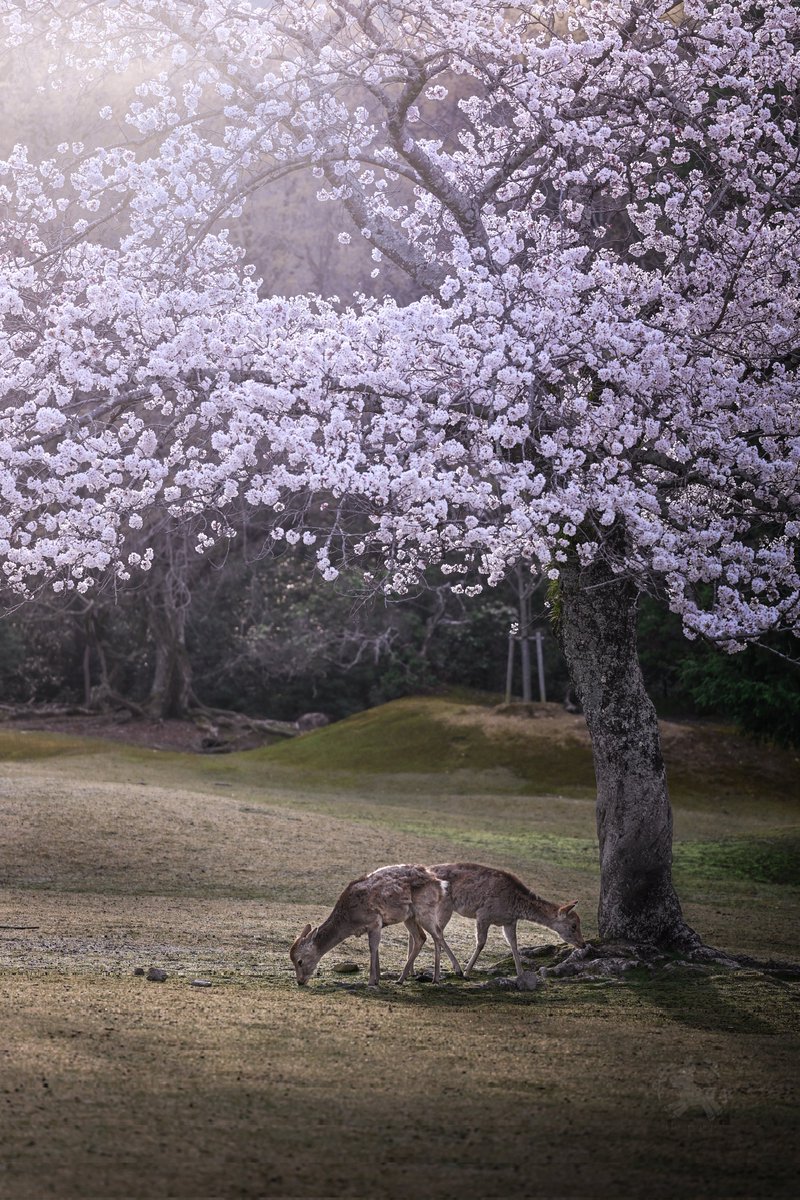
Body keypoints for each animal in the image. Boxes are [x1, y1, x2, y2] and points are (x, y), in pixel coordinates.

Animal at [289, 868, 462, 988]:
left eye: (299, 961)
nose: (300, 982)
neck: (350, 920)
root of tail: (440, 884)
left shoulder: (374, 921)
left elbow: (372, 947)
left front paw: (371, 981)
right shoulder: (375, 926)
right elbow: (376, 948)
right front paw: (378, 978)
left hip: (424, 910)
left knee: (437, 934)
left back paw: (438, 978)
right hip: (410, 917)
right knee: (422, 937)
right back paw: (402, 979)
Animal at [424, 864, 587, 974]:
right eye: (573, 925)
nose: (583, 944)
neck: (514, 906)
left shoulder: (509, 922)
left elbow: (514, 944)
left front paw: (521, 974)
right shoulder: (483, 914)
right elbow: (481, 942)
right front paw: (467, 971)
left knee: (432, 932)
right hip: (445, 905)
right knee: (438, 932)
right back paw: (457, 969)